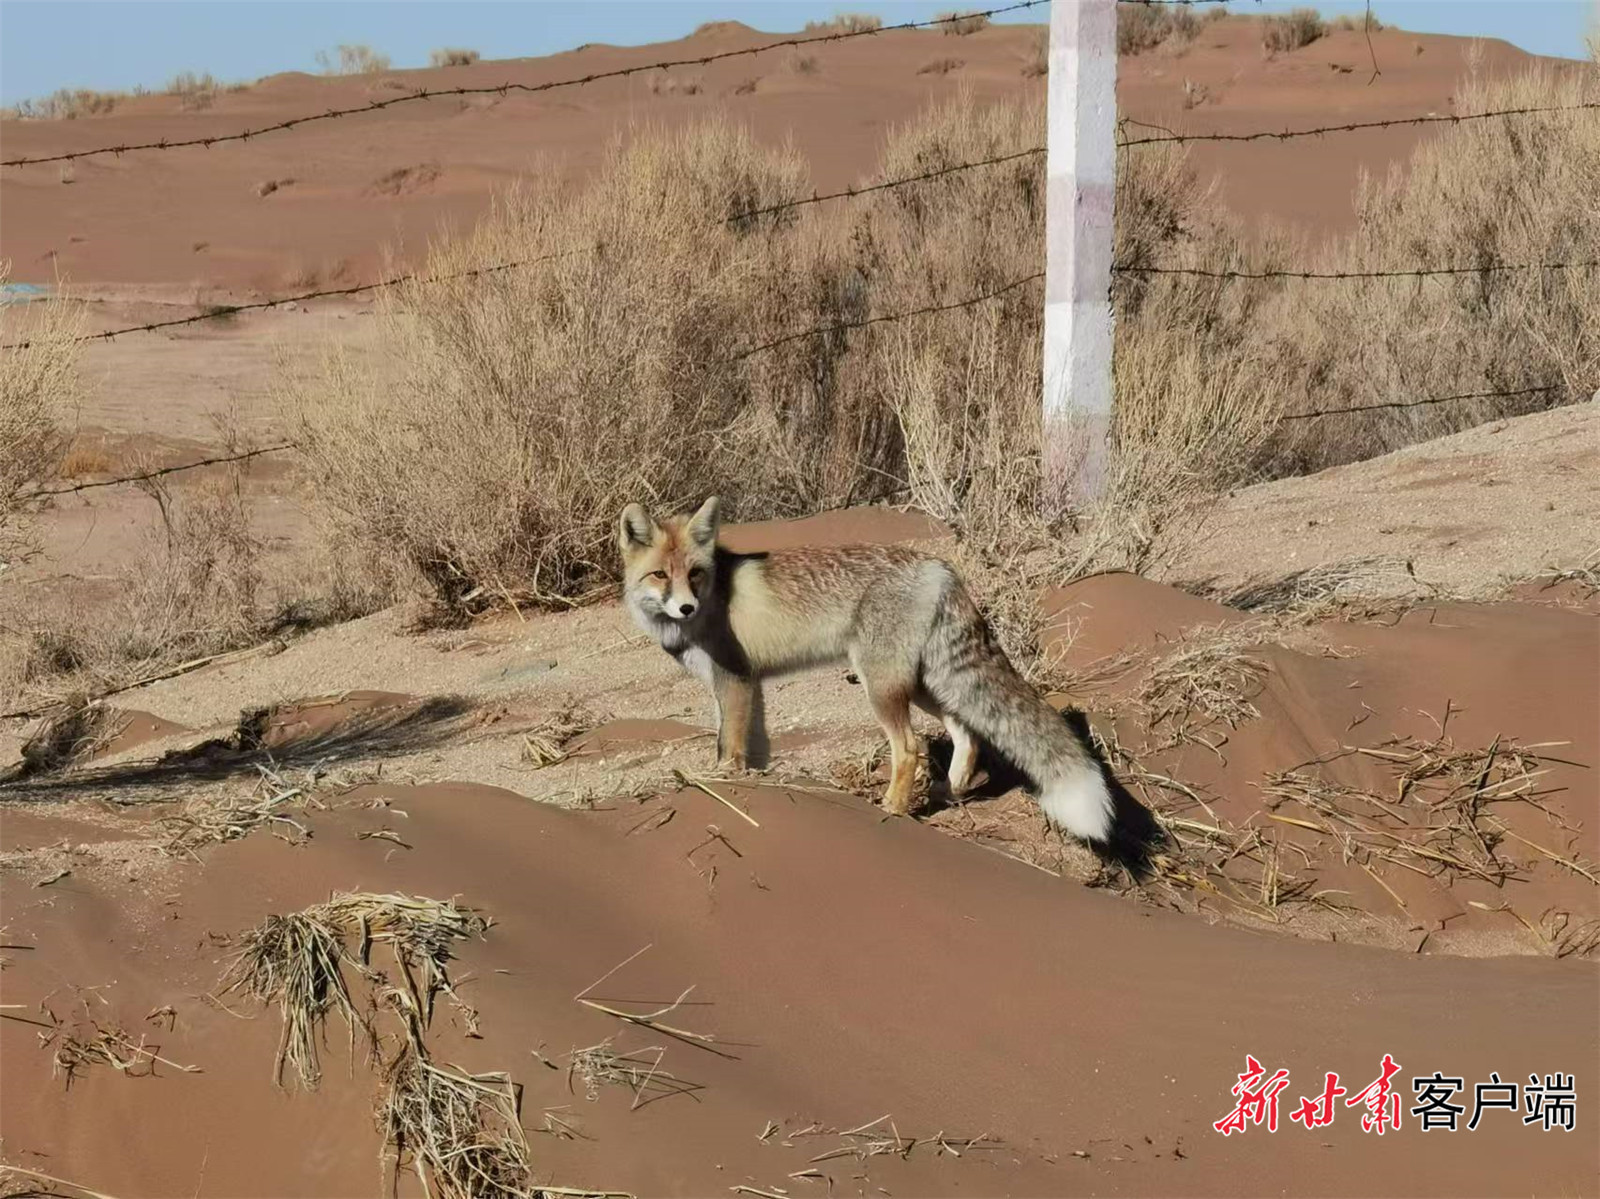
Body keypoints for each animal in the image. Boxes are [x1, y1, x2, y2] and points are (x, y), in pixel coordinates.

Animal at [617, 496, 1120, 838]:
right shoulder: (739, 686)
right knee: (968, 735)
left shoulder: (735, 680)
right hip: (925, 685)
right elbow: (747, 748)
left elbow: (731, 747)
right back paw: (949, 791)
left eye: (695, 574)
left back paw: (893, 809)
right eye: (660, 575)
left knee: (910, 747)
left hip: (881, 686)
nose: (685, 607)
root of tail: (940, 568)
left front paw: (725, 784)